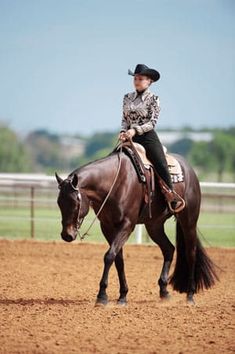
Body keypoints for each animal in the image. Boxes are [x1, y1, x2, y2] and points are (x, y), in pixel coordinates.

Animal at [56, 145, 218, 306]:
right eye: (59, 202)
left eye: (75, 202)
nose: (67, 235)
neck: (115, 182)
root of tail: (190, 170)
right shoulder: (107, 227)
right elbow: (118, 259)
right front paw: (122, 295)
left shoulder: (127, 225)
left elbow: (109, 256)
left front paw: (102, 296)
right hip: (154, 226)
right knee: (169, 249)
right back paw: (164, 292)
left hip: (188, 221)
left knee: (191, 253)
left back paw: (190, 296)